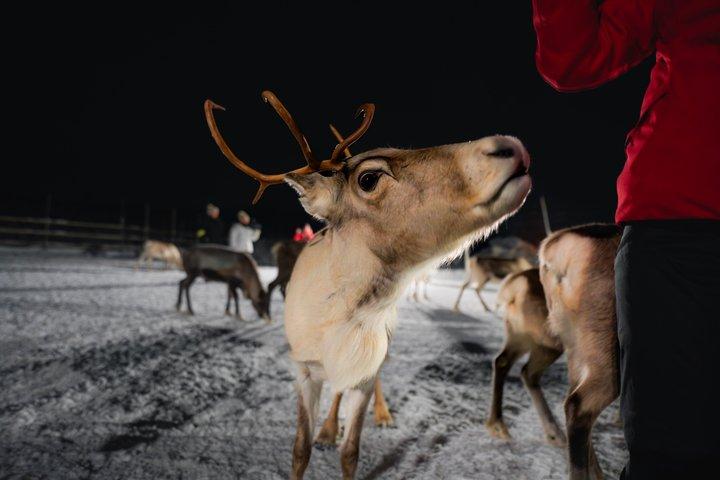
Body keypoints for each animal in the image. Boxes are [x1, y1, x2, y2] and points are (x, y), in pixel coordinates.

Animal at [203, 90, 532, 479]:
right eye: (369, 178)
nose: (510, 146)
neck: (339, 325)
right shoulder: (305, 370)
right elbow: (300, 449)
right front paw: (321, 435)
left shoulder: (365, 368)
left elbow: (351, 451)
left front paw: (358, 430)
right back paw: (328, 429)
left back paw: (381, 414)